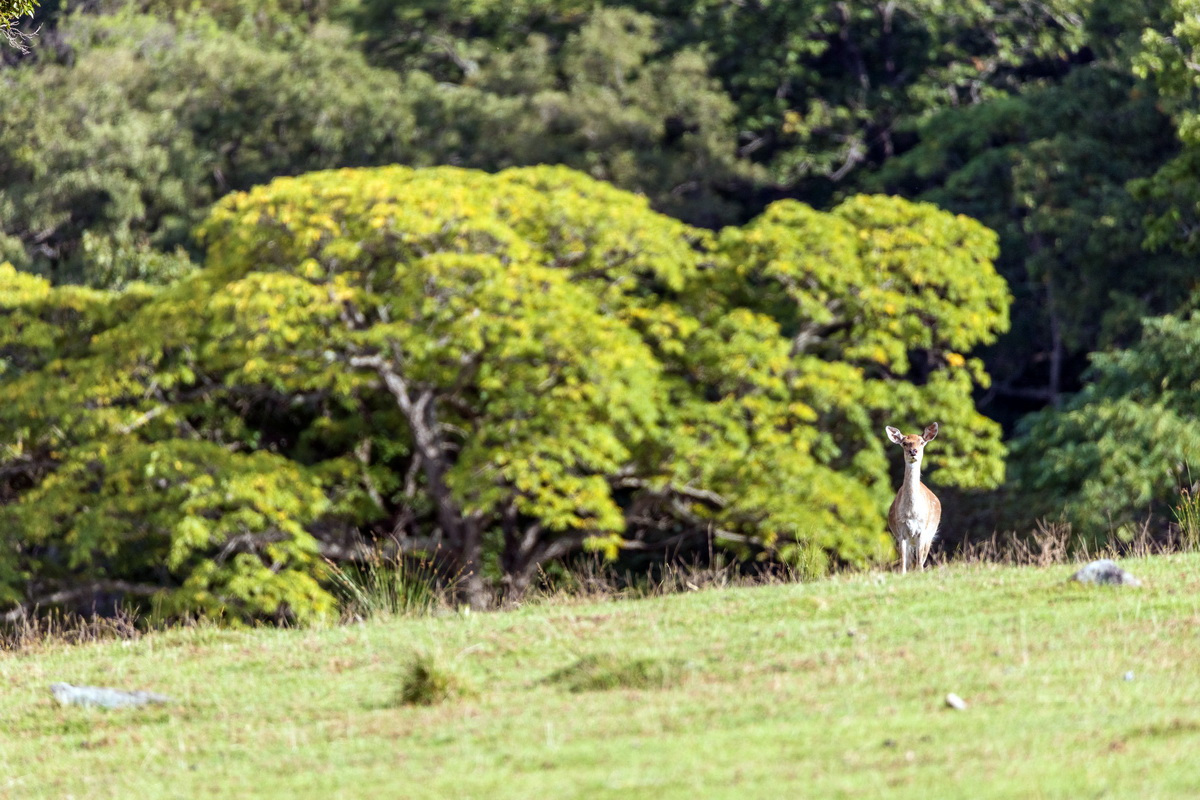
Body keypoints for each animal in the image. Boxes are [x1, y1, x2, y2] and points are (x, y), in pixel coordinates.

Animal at [888, 422, 940, 573]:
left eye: (922, 442)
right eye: (905, 443)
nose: (913, 451)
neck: (911, 513)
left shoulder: (922, 530)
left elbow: (920, 562)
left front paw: (920, 573)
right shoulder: (900, 531)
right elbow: (903, 563)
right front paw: (903, 574)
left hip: (931, 533)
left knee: (921, 558)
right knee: (909, 559)